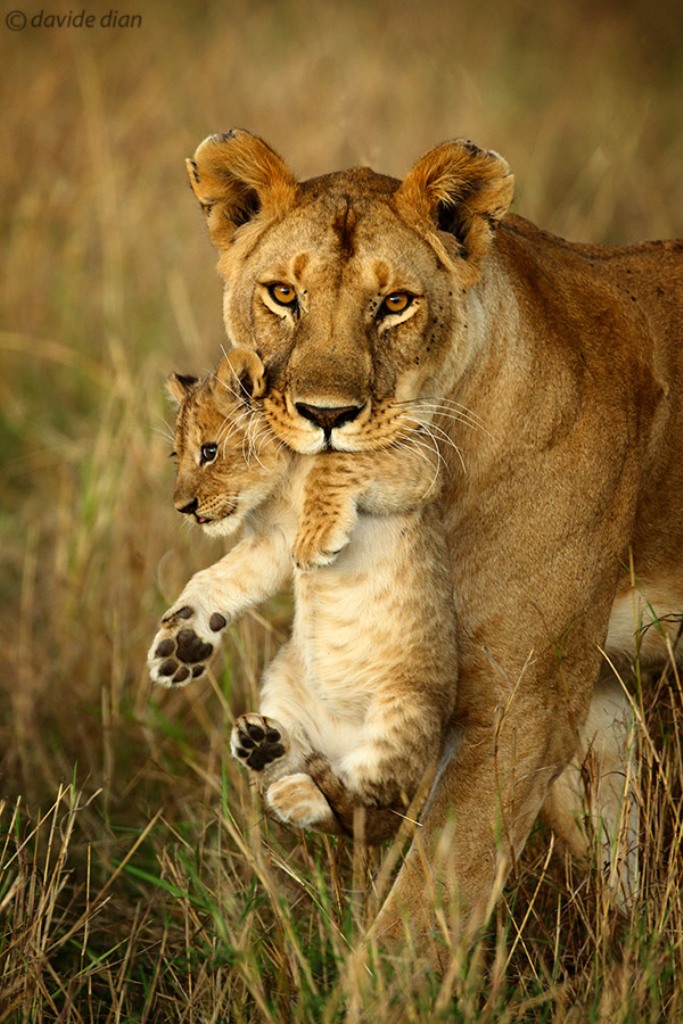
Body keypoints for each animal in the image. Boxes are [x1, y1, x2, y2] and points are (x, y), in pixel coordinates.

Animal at [149, 348, 457, 842]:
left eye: (209, 451)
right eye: (176, 456)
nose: (185, 510)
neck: (282, 485)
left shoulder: (418, 462)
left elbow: (334, 464)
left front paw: (318, 539)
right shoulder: (271, 544)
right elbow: (212, 580)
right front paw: (181, 646)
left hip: (405, 711)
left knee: (366, 808)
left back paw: (303, 791)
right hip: (281, 681)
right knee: (320, 788)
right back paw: (264, 749)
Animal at [182, 128, 683, 952]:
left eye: (395, 303)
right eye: (283, 294)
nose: (326, 415)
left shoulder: (521, 707)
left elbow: (423, 907)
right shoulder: (590, 693)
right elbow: (608, 839)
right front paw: (628, 949)